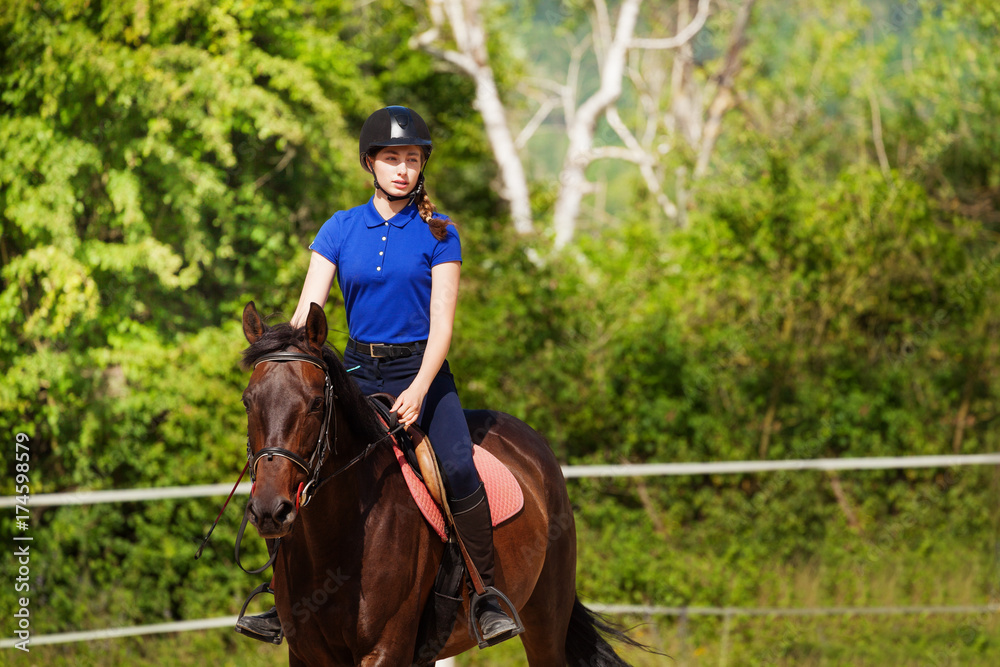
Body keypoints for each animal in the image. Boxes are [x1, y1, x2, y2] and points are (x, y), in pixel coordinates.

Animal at [238, 304, 636, 667]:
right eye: (247, 401)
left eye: (317, 403)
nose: (270, 511)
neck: (333, 540)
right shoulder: (306, 654)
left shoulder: (385, 651)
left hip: (545, 620)